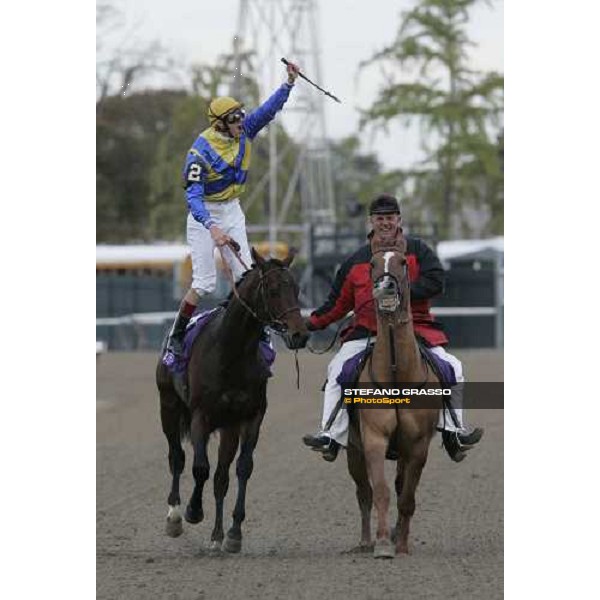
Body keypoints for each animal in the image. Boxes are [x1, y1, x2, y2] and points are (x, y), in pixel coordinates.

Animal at [156, 247, 310, 552]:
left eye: (297, 289)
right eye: (273, 290)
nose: (299, 334)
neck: (231, 352)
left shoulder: (249, 417)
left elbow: (241, 469)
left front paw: (233, 532)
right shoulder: (200, 416)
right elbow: (200, 468)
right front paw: (193, 511)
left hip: (228, 427)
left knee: (221, 476)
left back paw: (217, 536)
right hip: (168, 407)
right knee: (177, 458)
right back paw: (175, 516)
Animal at [346, 233, 440, 556]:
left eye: (402, 262)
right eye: (372, 264)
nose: (385, 286)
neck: (398, 373)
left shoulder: (418, 444)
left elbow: (407, 497)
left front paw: (401, 543)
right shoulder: (373, 437)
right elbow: (381, 492)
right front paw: (384, 543)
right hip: (353, 450)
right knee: (363, 492)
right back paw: (365, 541)